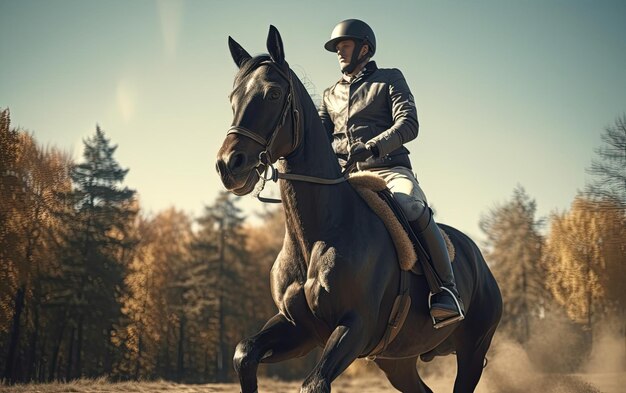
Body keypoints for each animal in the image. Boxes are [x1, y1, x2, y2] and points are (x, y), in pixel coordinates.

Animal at [216, 26, 502, 390]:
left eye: (273, 94)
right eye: (233, 98)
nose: (229, 165)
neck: (319, 233)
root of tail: (477, 257)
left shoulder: (355, 328)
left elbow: (314, 383)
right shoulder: (298, 329)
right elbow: (244, 353)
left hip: (472, 352)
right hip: (397, 362)